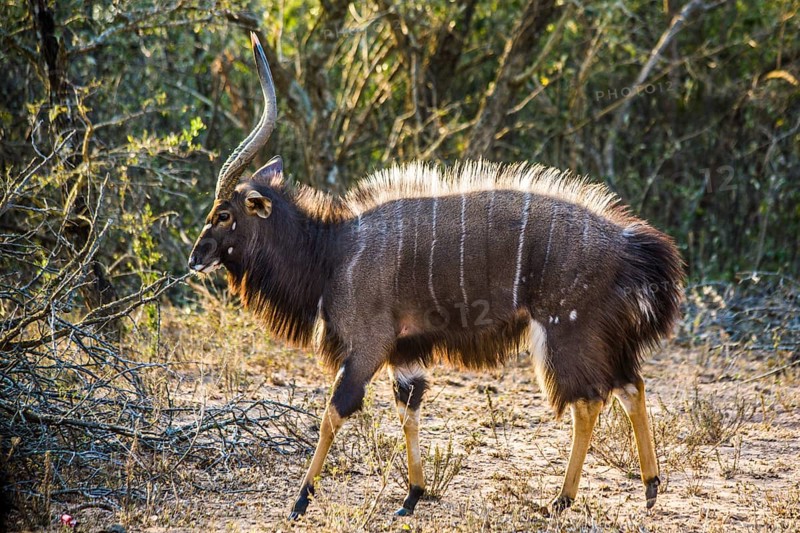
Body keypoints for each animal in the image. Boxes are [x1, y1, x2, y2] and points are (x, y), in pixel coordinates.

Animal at [188, 33, 684, 520]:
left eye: (225, 214)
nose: (196, 257)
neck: (333, 250)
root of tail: (628, 243)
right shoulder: (405, 353)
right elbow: (408, 411)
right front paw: (411, 496)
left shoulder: (368, 346)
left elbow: (333, 413)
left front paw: (300, 499)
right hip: (601, 337)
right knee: (631, 386)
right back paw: (649, 488)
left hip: (566, 333)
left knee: (590, 400)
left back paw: (561, 500)